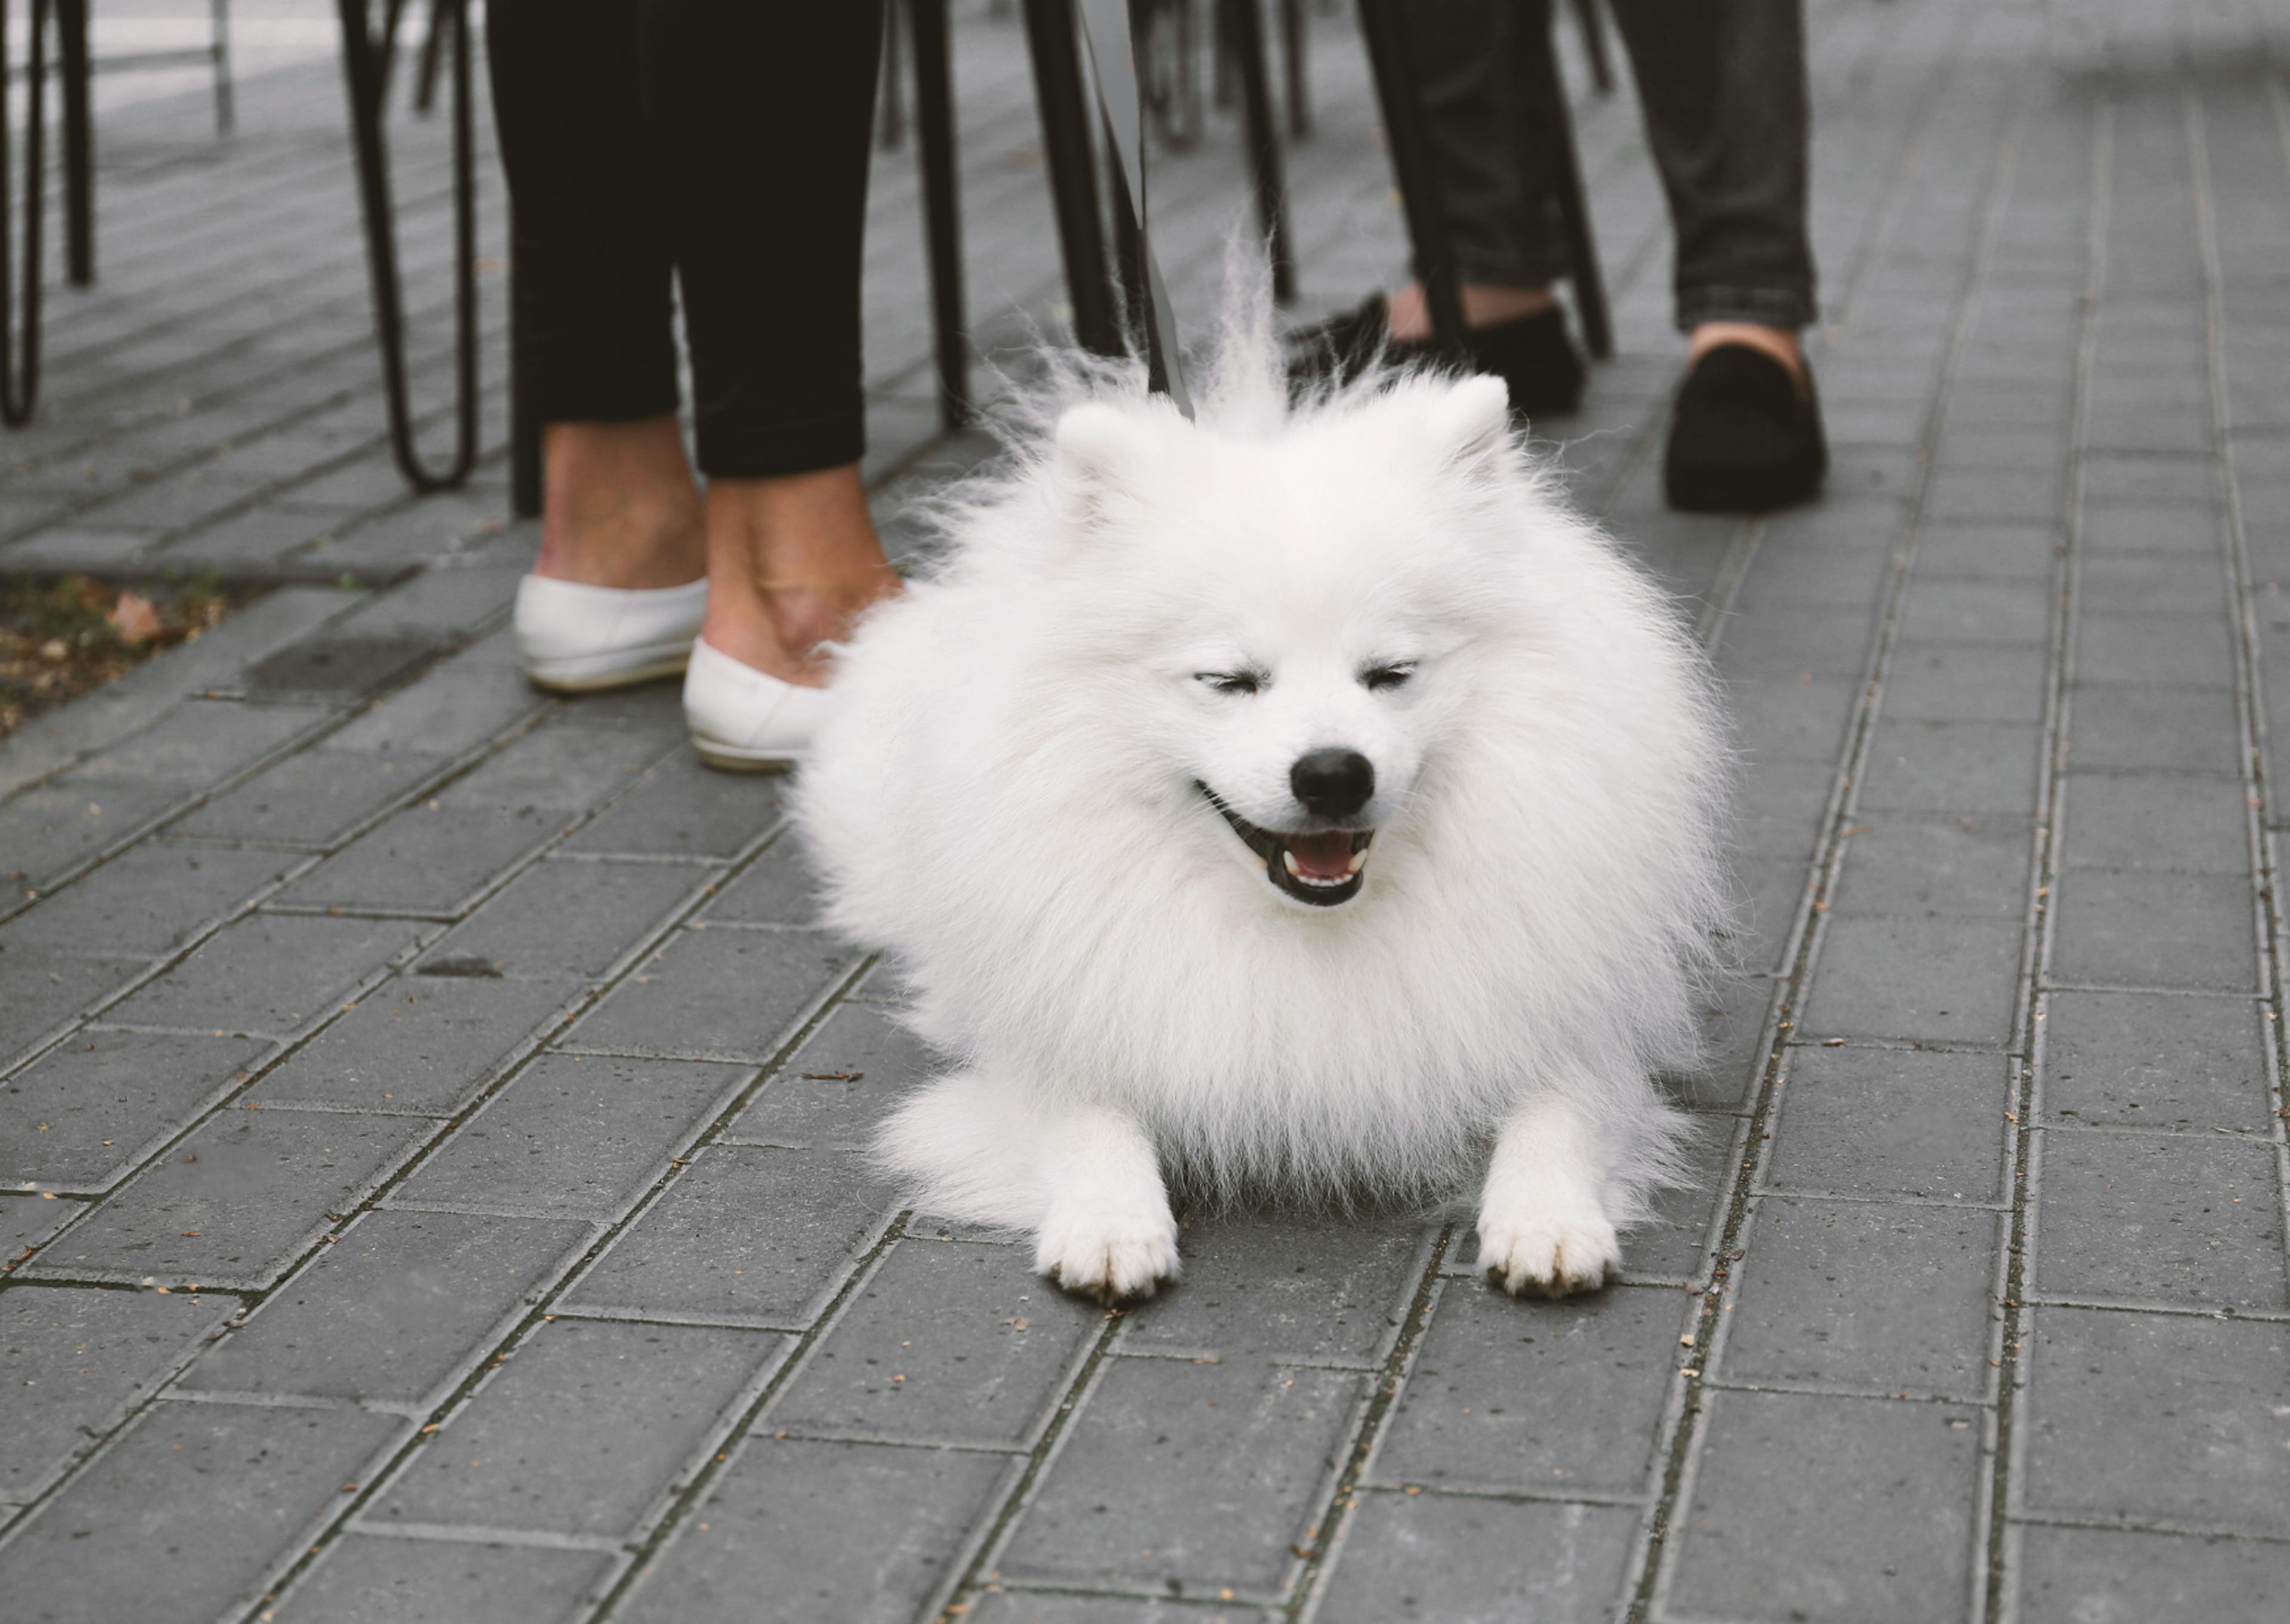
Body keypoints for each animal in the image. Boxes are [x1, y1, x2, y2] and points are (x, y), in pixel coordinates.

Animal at [797, 295, 1722, 1301]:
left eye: (1390, 674)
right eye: (1229, 680)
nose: (1333, 772)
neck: (1301, 933)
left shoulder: (1566, 1013)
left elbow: (1560, 1108)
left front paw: (1548, 1220)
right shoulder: (1057, 1027)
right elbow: (1088, 1118)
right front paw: (1110, 1225)